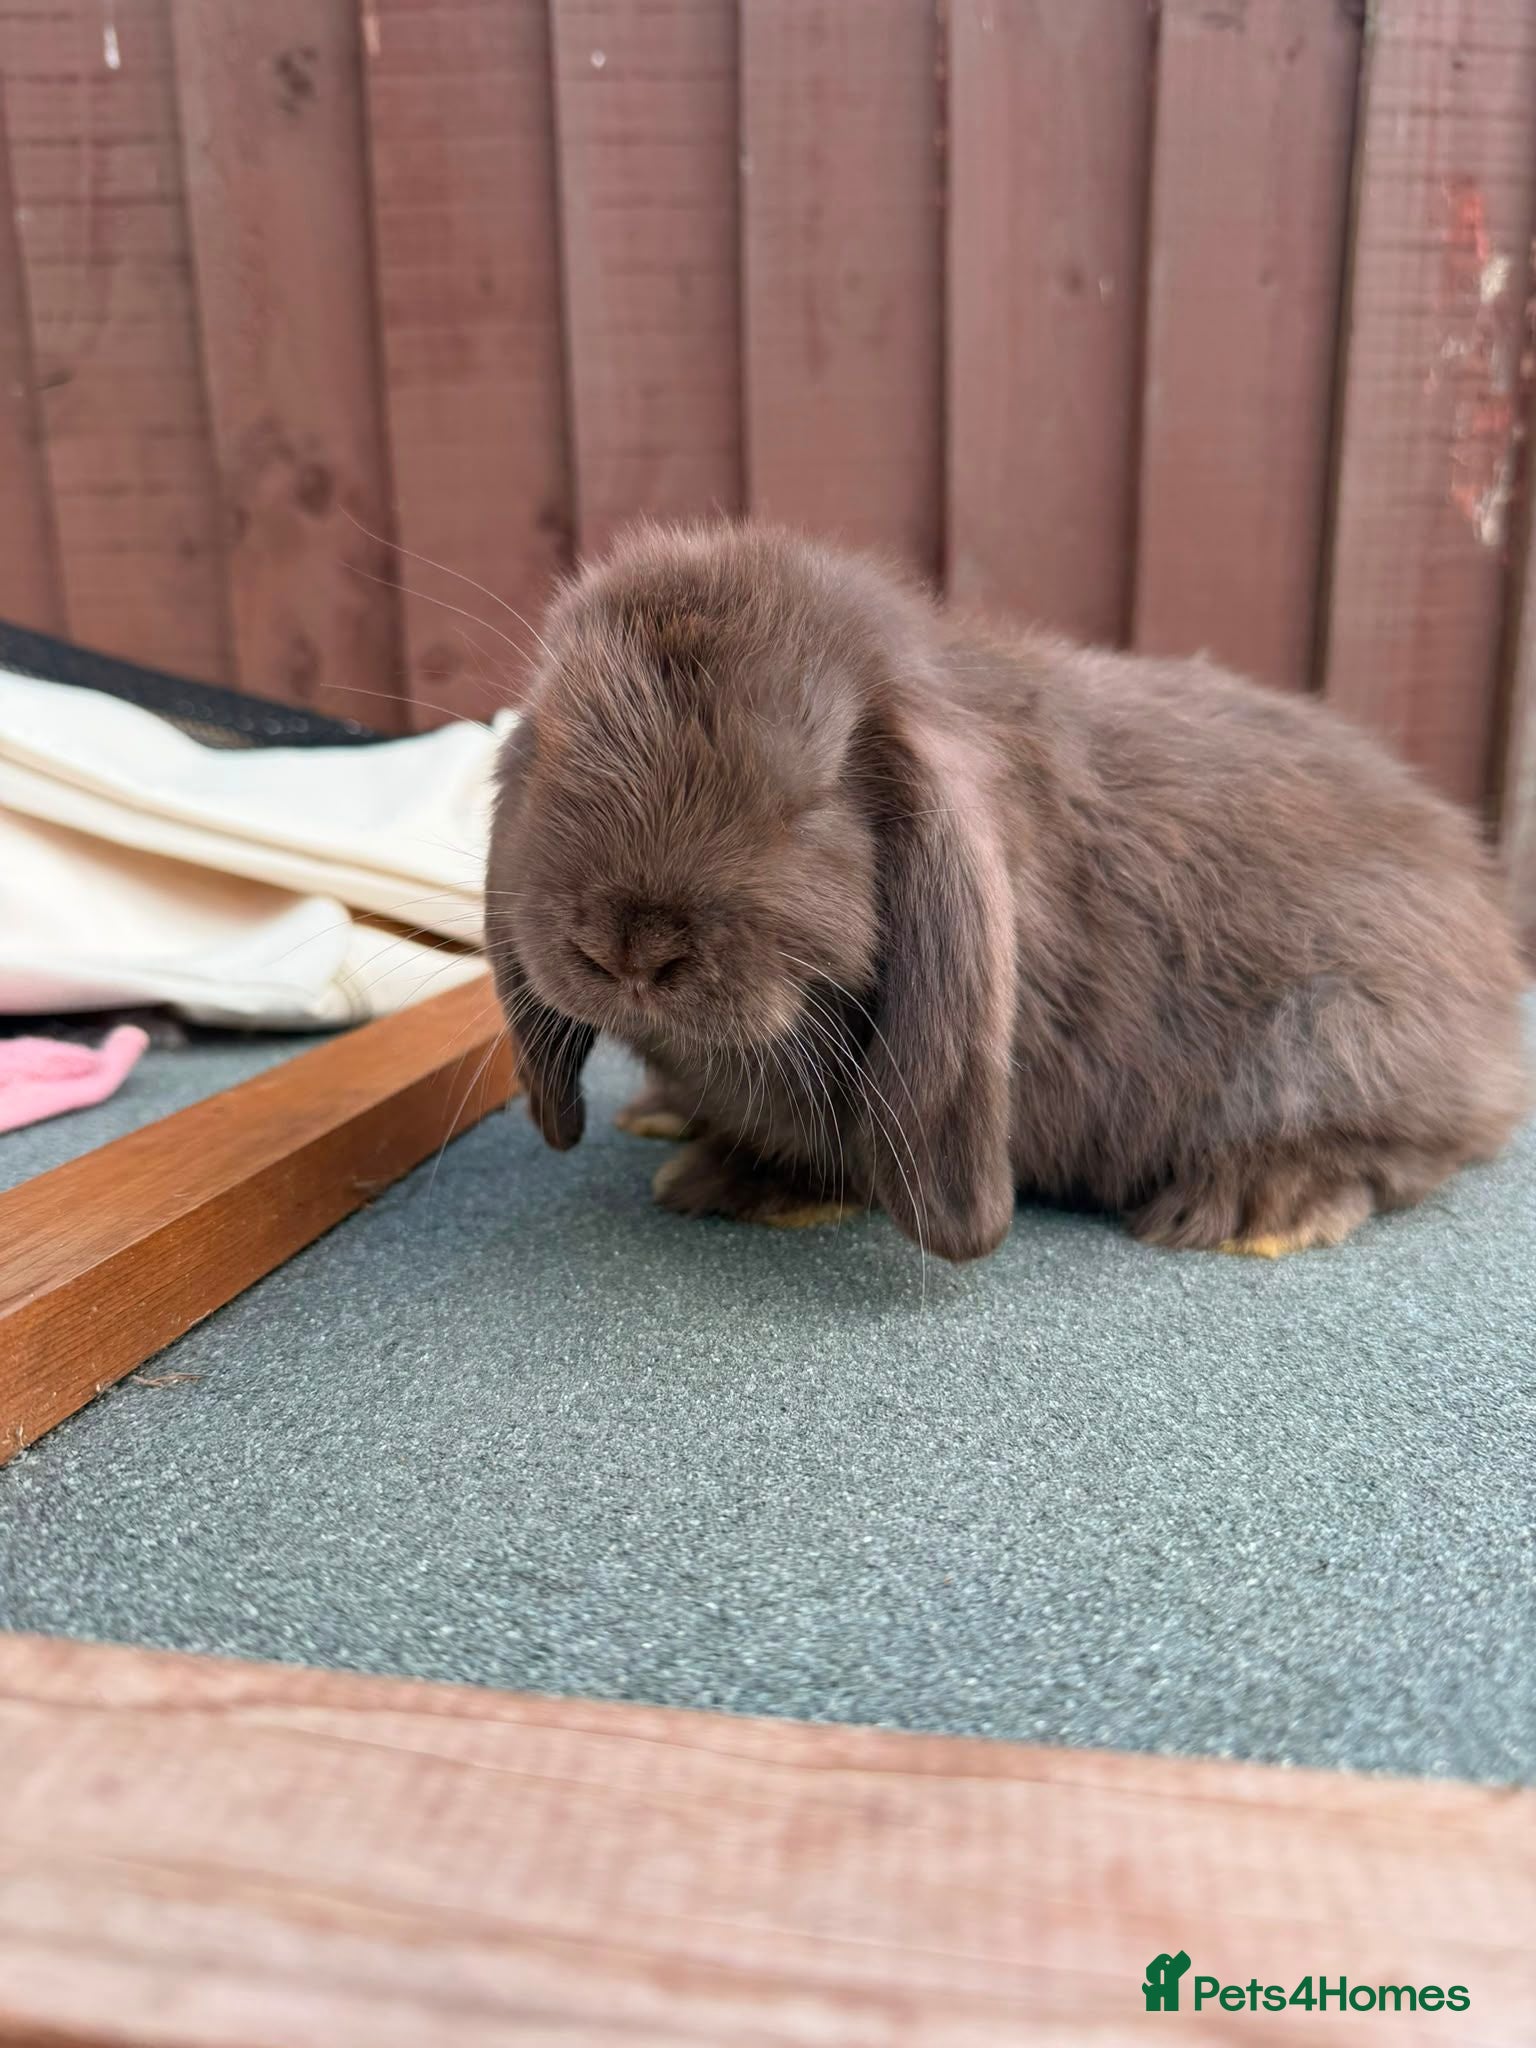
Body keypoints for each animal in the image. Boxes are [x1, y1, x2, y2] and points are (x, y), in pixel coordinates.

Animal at [485, 521, 1529, 1263]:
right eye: (553, 764)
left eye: (810, 802)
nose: (628, 947)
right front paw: (677, 1122)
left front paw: (730, 1186)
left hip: (1332, 1039)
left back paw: (1255, 1208)